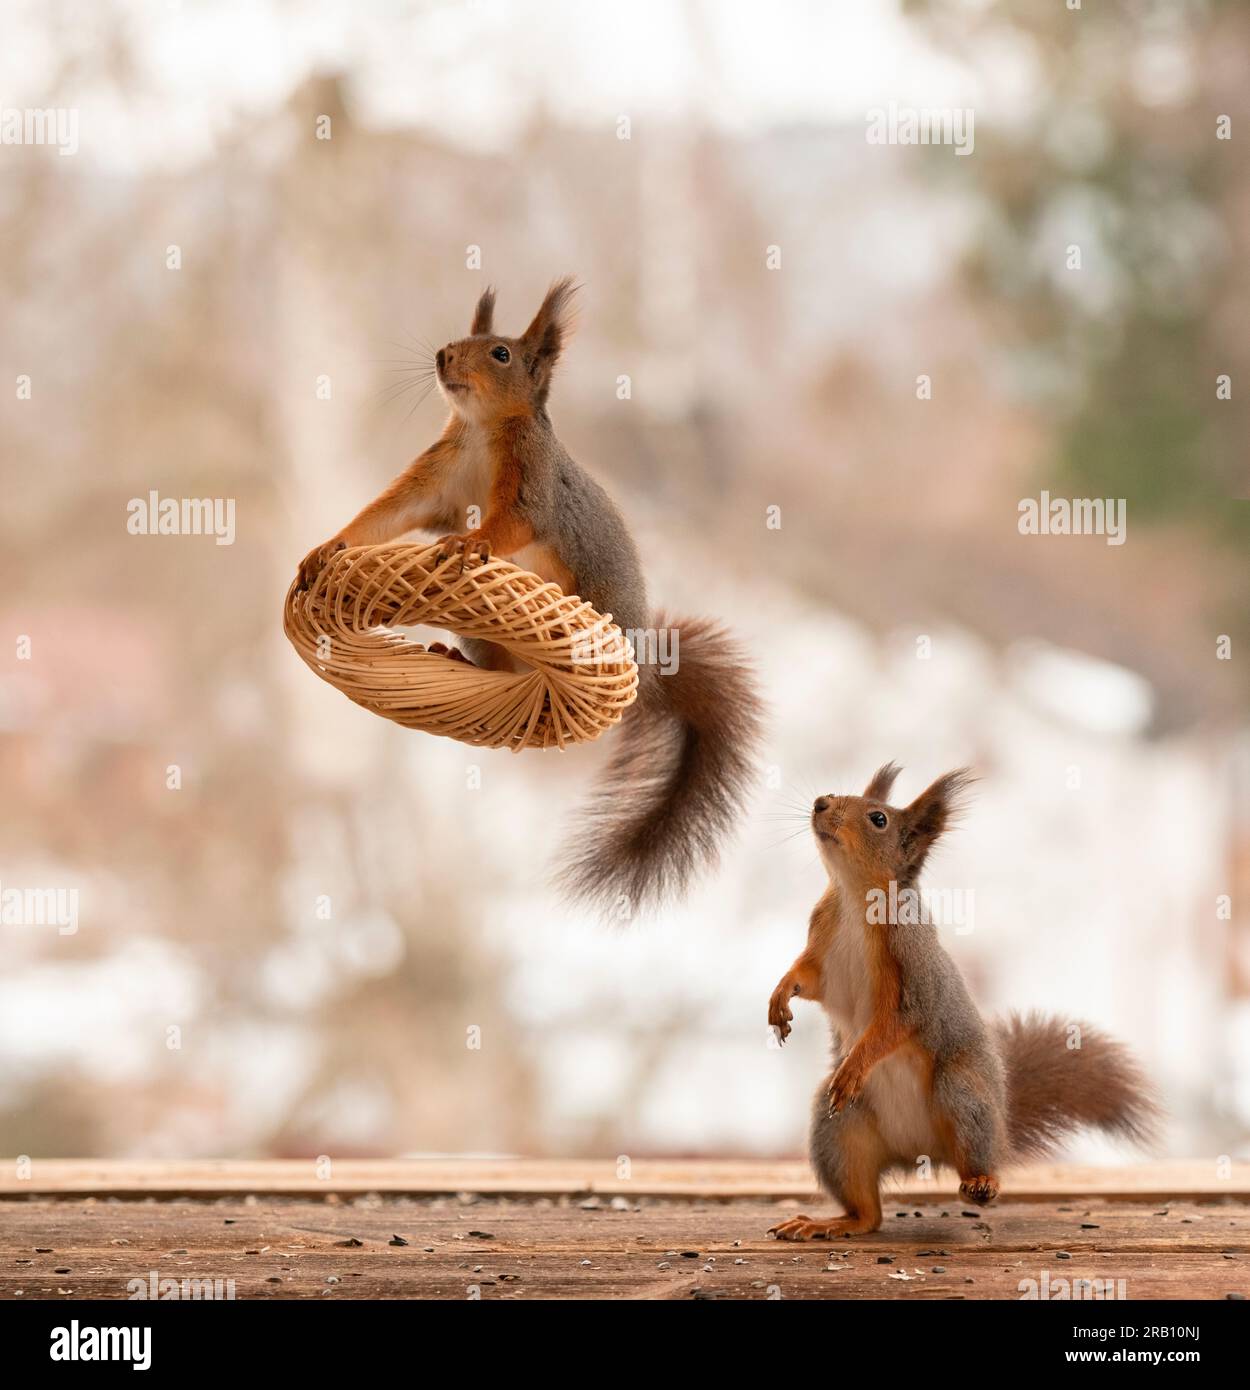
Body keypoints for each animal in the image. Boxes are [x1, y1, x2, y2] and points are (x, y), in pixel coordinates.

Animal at [296, 279, 761, 911]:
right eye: (462, 340)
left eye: (501, 354)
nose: (443, 355)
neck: (481, 428)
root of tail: (646, 670)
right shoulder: (433, 481)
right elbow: (384, 516)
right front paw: (330, 546)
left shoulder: (532, 486)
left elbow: (508, 527)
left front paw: (470, 543)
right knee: (502, 672)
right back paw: (456, 657)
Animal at [767, 767, 1156, 1245]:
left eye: (878, 819)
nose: (821, 803)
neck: (854, 898)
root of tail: (921, 1154)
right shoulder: (824, 946)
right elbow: (807, 979)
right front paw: (779, 997)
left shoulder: (914, 973)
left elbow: (897, 1023)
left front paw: (856, 1063)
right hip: (837, 1130)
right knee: (868, 1214)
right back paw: (830, 1223)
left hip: (961, 1093)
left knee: (978, 1159)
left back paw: (982, 1183)